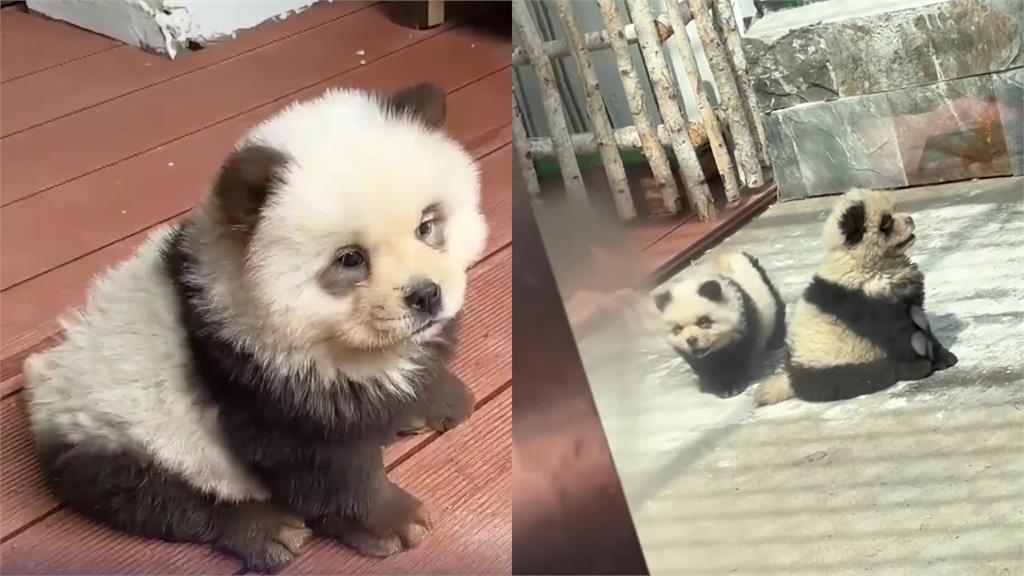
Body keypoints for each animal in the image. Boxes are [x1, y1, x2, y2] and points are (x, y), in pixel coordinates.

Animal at [24, 84, 487, 569]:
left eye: (428, 225)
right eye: (350, 258)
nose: (426, 296)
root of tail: (46, 376)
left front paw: (442, 397)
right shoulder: (256, 377)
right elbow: (325, 466)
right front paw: (393, 523)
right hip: (120, 436)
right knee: (157, 497)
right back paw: (266, 530)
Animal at [651, 253, 786, 397]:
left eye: (703, 321)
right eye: (678, 328)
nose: (691, 340)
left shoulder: (743, 321)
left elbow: (739, 358)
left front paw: (732, 387)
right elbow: (702, 365)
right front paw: (712, 384)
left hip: (764, 286)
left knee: (777, 306)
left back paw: (776, 341)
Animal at [757, 188, 954, 403]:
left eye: (893, 211)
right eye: (886, 222)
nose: (910, 219)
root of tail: (792, 381)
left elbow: (922, 325)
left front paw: (945, 356)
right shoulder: (867, 301)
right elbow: (899, 336)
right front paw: (926, 356)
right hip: (835, 367)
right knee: (870, 375)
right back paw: (915, 369)